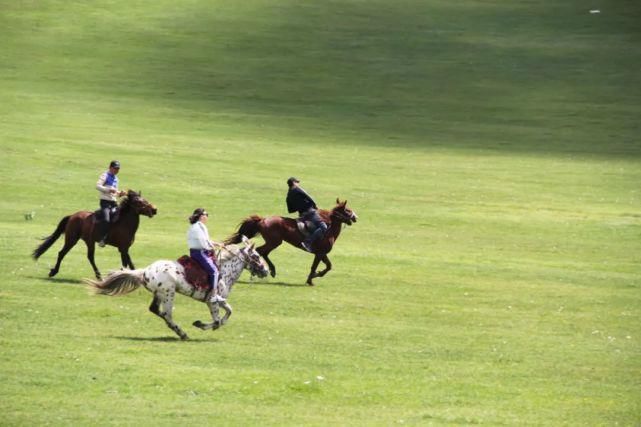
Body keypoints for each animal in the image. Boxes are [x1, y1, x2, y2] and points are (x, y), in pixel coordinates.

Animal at [84, 237, 266, 342]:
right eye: (256, 256)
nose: (265, 271)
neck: (224, 271)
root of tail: (144, 272)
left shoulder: (220, 300)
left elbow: (228, 313)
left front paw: (206, 324)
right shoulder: (212, 301)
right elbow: (218, 319)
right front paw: (200, 324)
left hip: (159, 294)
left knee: (155, 310)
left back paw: (179, 332)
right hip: (168, 294)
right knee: (166, 314)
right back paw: (183, 333)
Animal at [224, 199, 356, 286]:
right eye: (347, 210)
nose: (355, 217)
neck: (329, 231)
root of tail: (263, 220)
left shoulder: (322, 254)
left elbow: (328, 266)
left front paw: (314, 277)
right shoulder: (320, 254)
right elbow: (318, 267)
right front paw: (312, 278)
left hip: (274, 242)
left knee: (264, 253)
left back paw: (272, 270)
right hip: (274, 242)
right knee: (260, 251)